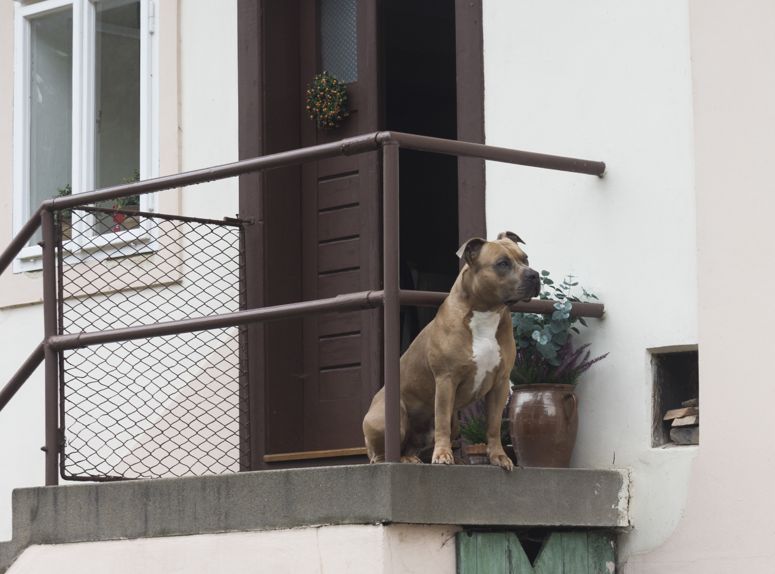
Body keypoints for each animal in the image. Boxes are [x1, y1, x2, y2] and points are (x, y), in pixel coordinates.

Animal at [364, 232, 540, 470]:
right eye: (502, 263)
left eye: (525, 259)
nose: (534, 275)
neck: (486, 313)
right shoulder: (446, 380)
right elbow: (442, 424)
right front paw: (442, 455)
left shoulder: (500, 383)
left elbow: (493, 426)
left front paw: (498, 456)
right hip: (391, 416)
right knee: (381, 456)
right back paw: (402, 459)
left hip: (451, 422)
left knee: (413, 446)